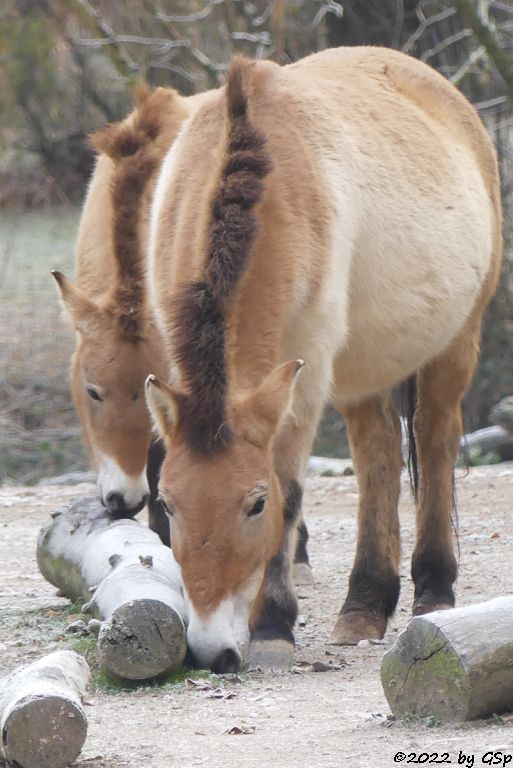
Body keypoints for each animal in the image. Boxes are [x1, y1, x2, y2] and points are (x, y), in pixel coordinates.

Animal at [143, 48, 500, 672]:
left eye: (255, 505)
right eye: (168, 502)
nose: (211, 649)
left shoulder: (303, 373)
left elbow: (292, 490)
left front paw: (272, 625)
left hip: (456, 343)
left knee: (434, 439)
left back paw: (433, 588)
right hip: (365, 367)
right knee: (378, 454)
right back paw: (365, 604)